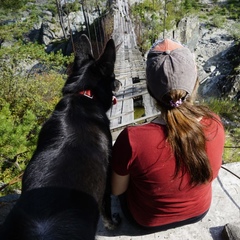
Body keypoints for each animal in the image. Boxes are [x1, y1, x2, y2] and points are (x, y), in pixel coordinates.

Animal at [0, 34, 120, 239]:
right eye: (112, 77)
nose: (119, 82)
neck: (84, 95)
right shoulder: (107, 176)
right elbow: (106, 209)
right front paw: (113, 225)